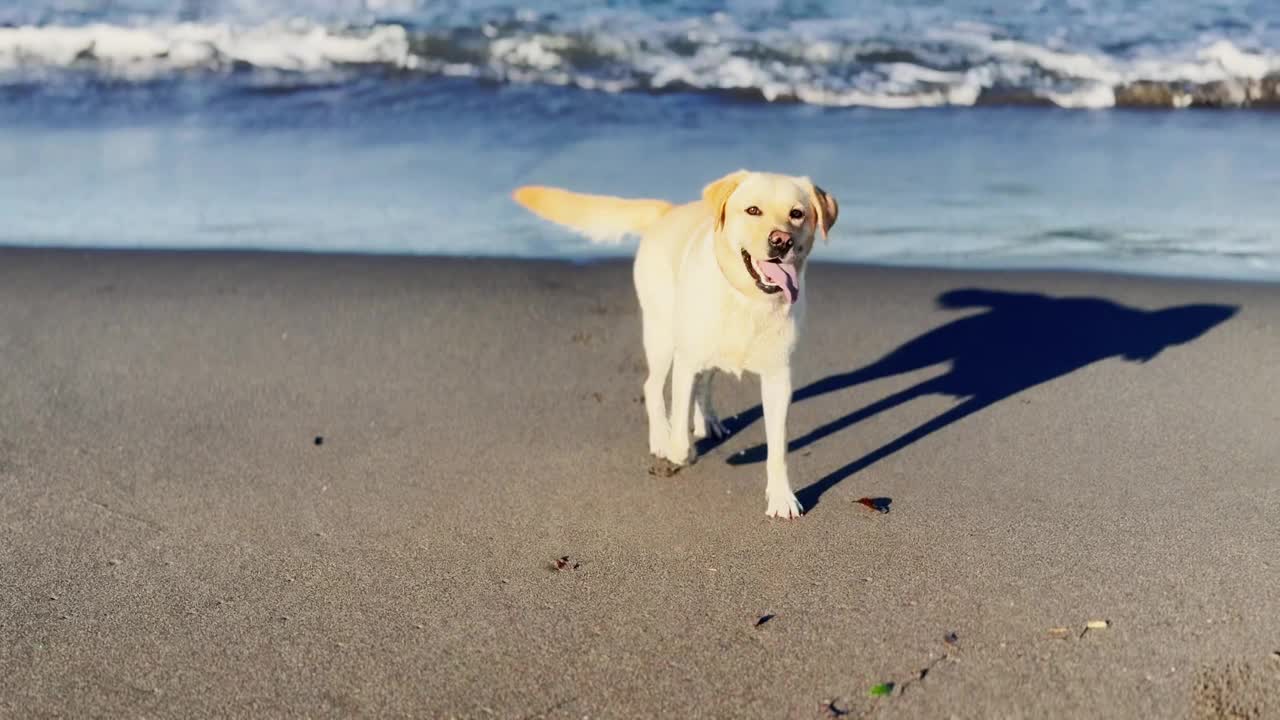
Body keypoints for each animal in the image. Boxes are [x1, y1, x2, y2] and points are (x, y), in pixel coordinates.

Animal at [514, 170, 834, 512]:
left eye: (797, 213)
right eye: (753, 210)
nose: (781, 241)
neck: (747, 300)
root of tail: (668, 210)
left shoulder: (778, 378)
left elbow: (778, 448)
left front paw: (782, 496)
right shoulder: (686, 360)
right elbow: (680, 421)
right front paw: (678, 448)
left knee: (705, 381)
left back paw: (709, 422)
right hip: (663, 335)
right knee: (652, 387)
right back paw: (661, 437)